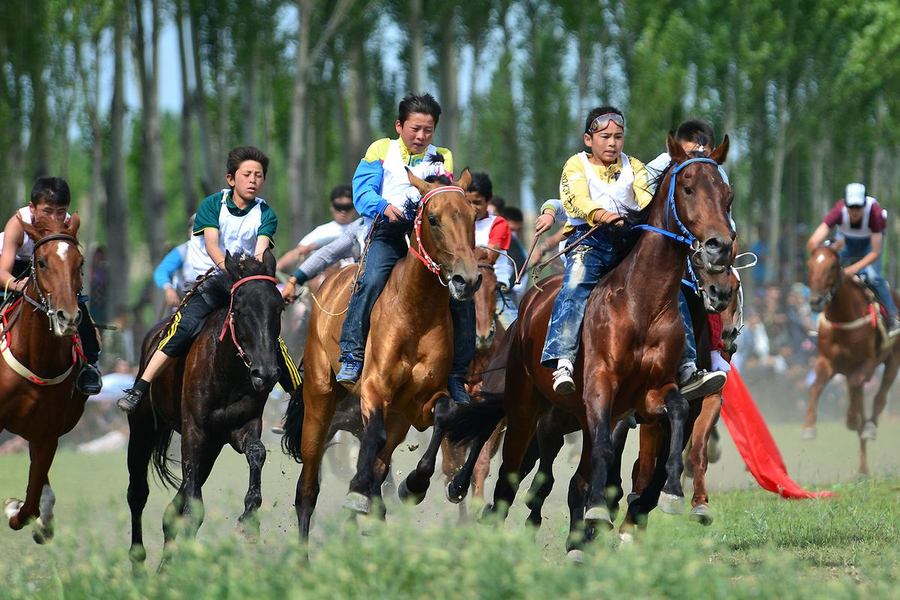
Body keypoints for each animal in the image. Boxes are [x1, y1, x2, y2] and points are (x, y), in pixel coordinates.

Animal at [0, 216, 87, 544]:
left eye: (80, 263)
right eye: (42, 262)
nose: (67, 317)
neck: (36, 358)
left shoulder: (47, 434)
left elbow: (33, 501)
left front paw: (16, 509)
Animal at [125, 251, 286, 568]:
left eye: (279, 308)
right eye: (240, 310)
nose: (266, 374)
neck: (226, 370)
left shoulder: (240, 428)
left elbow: (257, 452)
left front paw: (249, 521)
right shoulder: (194, 432)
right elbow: (192, 506)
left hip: (211, 448)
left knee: (170, 510)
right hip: (142, 430)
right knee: (137, 494)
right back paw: (138, 563)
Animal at [284, 170, 482, 544]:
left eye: (473, 215)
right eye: (433, 219)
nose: (468, 279)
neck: (415, 312)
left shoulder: (419, 401)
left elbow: (445, 414)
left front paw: (413, 486)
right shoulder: (374, 388)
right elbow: (371, 437)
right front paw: (358, 491)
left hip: (398, 418)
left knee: (380, 460)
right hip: (319, 398)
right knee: (307, 490)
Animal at [446, 137, 736, 552]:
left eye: (728, 196)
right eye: (688, 187)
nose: (718, 248)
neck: (640, 303)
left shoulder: (651, 396)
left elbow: (677, 418)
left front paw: (669, 496)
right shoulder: (600, 387)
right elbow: (602, 452)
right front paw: (599, 512)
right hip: (525, 407)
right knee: (508, 472)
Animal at [804, 244, 896, 474]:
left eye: (832, 266)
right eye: (809, 265)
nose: (815, 301)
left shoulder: (867, 363)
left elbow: (857, 384)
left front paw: (852, 420)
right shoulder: (826, 361)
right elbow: (816, 386)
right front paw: (809, 428)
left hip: (893, 359)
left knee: (880, 395)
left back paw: (869, 427)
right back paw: (863, 466)